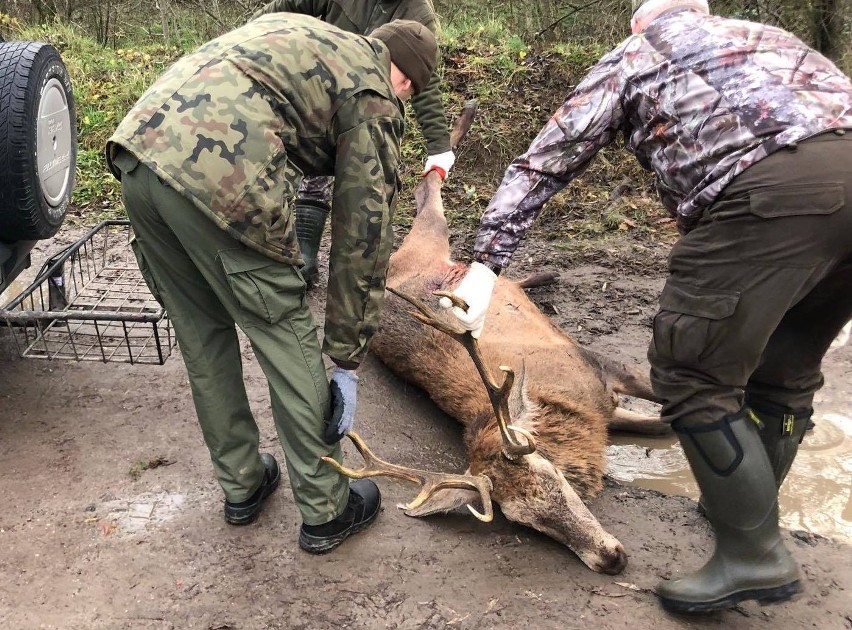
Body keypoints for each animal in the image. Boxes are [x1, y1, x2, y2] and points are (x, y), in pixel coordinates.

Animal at [324, 102, 664, 576]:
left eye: (555, 475)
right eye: (526, 520)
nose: (611, 559)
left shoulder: (597, 366)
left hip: (428, 242)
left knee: (428, 197)